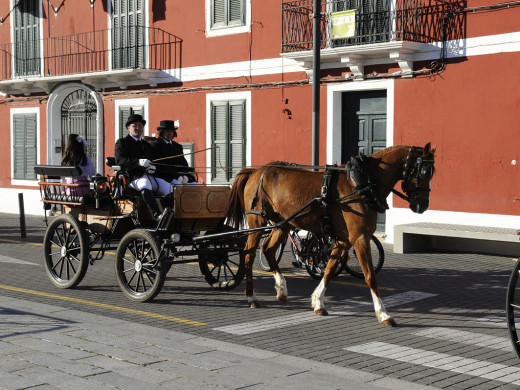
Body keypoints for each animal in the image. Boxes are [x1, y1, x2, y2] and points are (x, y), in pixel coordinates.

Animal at [226, 143, 434, 326]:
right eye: (423, 171)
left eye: (432, 171)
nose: (422, 205)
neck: (361, 184)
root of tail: (256, 171)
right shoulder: (359, 238)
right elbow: (370, 276)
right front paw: (383, 314)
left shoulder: (345, 239)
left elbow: (330, 268)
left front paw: (318, 301)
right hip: (257, 221)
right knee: (249, 254)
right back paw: (251, 296)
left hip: (282, 224)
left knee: (268, 249)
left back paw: (281, 289)